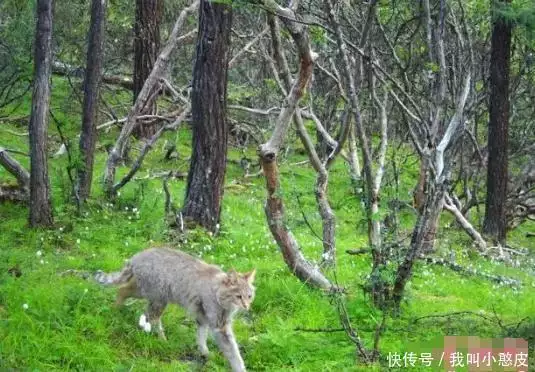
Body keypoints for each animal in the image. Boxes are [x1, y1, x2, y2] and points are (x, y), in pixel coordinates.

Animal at [95, 247, 256, 372]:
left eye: (249, 296)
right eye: (238, 296)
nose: (246, 306)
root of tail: (137, 256)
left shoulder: (202, 318)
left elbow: (201, 336)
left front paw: (204, 352)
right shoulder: (219, 326)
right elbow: (233, 352)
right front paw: (240, 368)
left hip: (145, 291)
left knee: (123, 290)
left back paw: (116, 309)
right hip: (158, 297)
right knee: (151, 317)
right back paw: (162, 339)